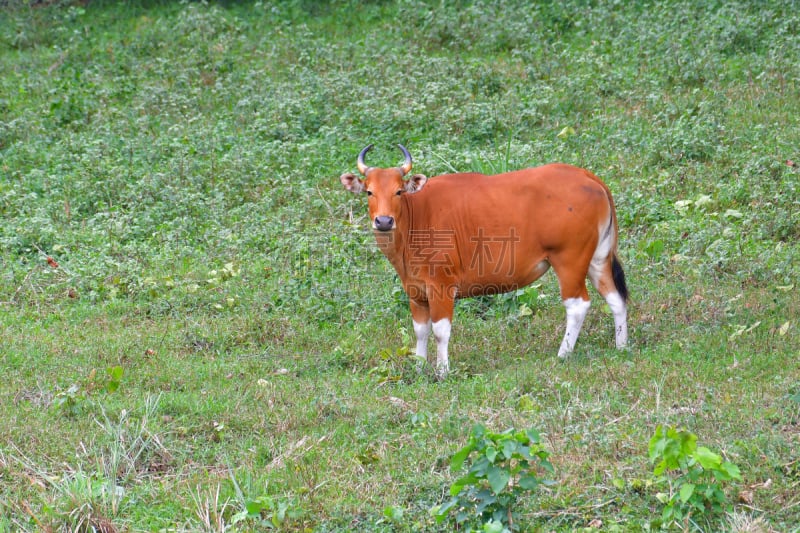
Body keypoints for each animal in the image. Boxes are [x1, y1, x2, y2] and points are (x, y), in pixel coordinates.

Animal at [340, 144, 628, 378]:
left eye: (399, 191)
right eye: (369, 192)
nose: (384, 221)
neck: (417, 219)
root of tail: (589, 177)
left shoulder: (442, 286)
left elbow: (440, 331)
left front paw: (442, 371)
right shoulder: (415, 291)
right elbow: (420, 331)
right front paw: (420, 368)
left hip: (569, 259)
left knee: (577, 305)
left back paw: (563, 354)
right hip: (597, 258)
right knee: (616, 298)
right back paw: (622, 346)